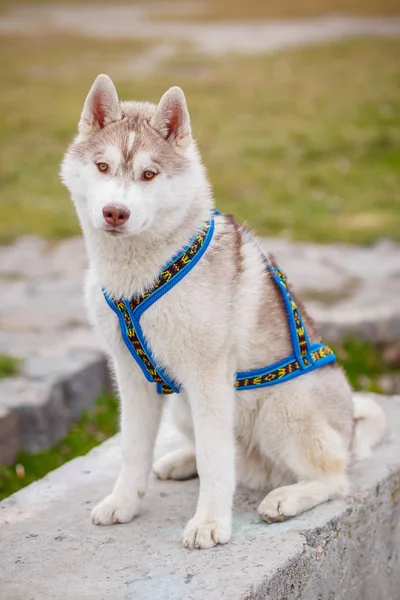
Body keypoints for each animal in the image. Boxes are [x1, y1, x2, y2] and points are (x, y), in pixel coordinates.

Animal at [61, 77, 386, 552]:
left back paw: (287, 496)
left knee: (333, 476)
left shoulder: (209, 376)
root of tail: (350, 431)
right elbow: (134, 447)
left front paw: (211, 522)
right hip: (181, 404)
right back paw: (181, 460)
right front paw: (124, 502)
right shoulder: (130, 373)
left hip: (282, 406)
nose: (115, 212)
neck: (141, 276)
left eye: (149, 174)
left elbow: (216, 459)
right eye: (103, 166)